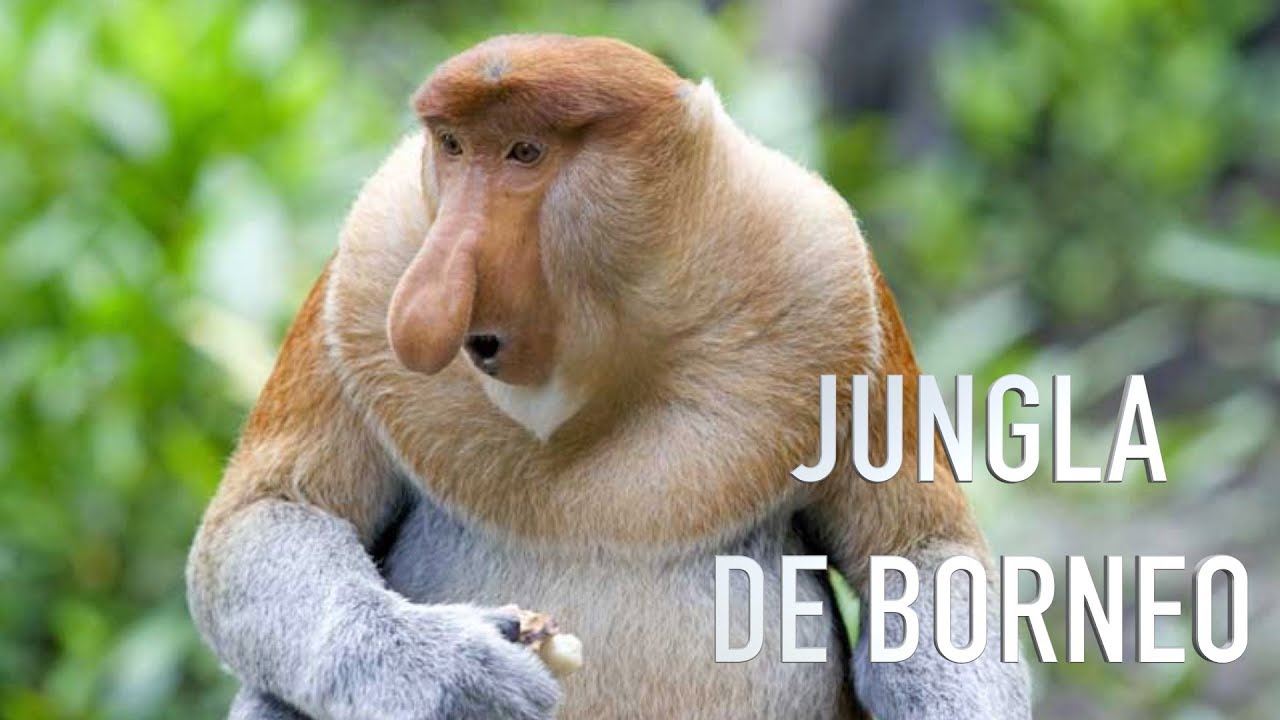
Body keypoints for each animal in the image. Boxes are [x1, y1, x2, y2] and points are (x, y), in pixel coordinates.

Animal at [186, 34, 1031, 720]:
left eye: (525, 153)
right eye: (453, 147)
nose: (424, 305)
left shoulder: (830, 271)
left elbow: (921, 551)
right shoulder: (370, 261)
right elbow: (265, 518)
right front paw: (458, 675)